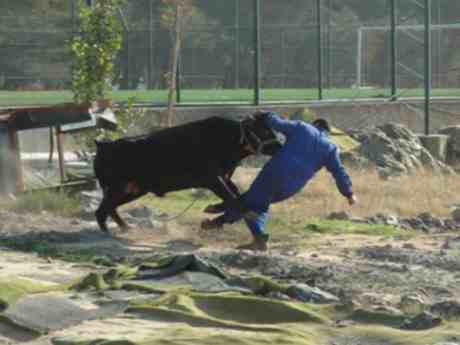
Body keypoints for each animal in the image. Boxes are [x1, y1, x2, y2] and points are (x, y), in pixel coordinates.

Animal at [92, 115, 280, 231]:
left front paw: (214, 208)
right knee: (102, 211)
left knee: (109, 209)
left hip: (133, 190)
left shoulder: (224, 177)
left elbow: (236, 195)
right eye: (264, 131)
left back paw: (125, 228)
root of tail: (103, 146)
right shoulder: (212, 179)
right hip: (117, 188)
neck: (228, 138)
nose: (280, 146)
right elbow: (233, 199)